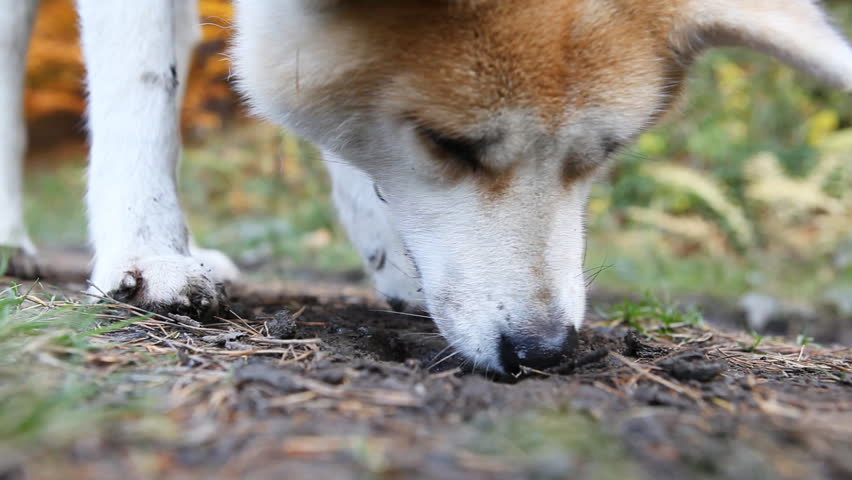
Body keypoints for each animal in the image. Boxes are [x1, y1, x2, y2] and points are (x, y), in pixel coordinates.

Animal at [0, 0, 848, 376]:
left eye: (602, 154)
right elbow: (143, 76)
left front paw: (391, 256)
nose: (544, 351)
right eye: (449, 143)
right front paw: (147, 249)